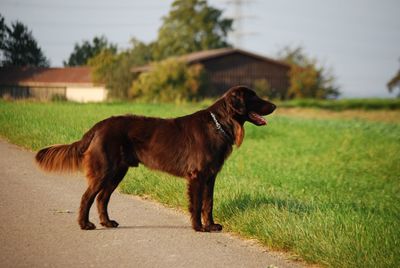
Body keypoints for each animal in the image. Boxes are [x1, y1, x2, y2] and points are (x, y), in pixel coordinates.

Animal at [36, 86, 276, 232]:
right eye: (253, 97)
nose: (274, 106)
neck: (218, 125)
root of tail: (98, 126)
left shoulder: (211, 176)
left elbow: (209, 203)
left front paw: (211, 225)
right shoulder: (197, 175)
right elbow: (198, 203)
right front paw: (199, 227)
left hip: (118, 171)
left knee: (102, 198)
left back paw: (107, 222)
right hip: (105, 169)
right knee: (87, 197)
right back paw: (85, 224)